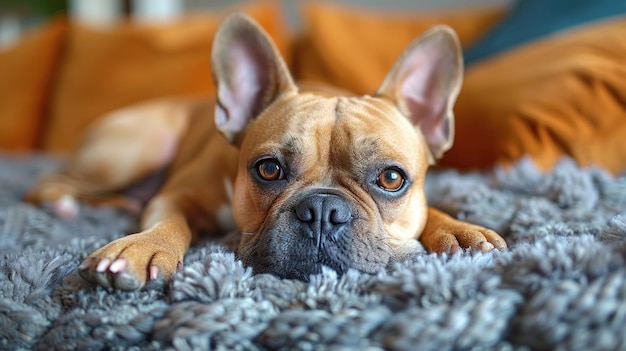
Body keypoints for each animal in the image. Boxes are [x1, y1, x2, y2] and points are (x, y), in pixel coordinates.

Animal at [26, 13, 508, 292]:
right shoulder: (177, 195)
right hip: (135, 149)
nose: (323, 211)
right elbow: (169, 222)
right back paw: (66, 205)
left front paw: (461, 231)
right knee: (50, 184)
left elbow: (434, 211)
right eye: (269, 169)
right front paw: (141, 247)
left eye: (392, 178)